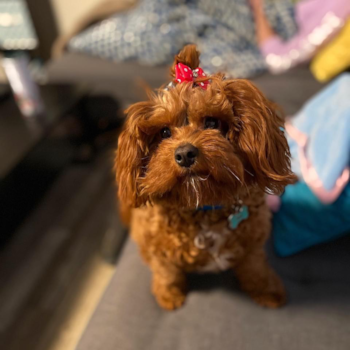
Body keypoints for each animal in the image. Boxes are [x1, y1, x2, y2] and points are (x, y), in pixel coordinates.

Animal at [116, 45, 296, 310]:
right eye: (164, 132)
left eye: (212, 122)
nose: (184, 154)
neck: (203, 207)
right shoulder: (158, 249)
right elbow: (167, 272)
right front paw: (169, 295)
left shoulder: (253, 243)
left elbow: (255, 267)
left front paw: (267, 290)